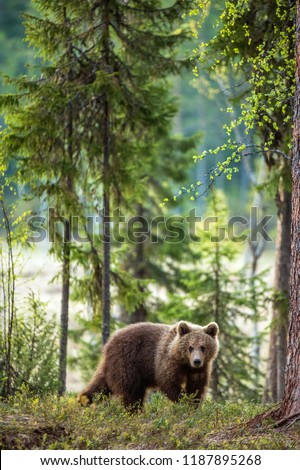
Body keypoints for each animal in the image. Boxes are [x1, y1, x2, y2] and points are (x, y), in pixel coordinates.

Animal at [78, 320, 219, 412]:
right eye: (190, 347)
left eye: (203, 347)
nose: (197, 361)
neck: (184, 363)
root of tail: (108, 345)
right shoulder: (166, 362)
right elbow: (169, 382)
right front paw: (183, 400)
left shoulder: (201, 370)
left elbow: (196, 387)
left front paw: (194, 405)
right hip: (128, 363)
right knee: (132, 392)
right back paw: (135, 412)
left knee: (100, 386)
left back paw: (83, 399)